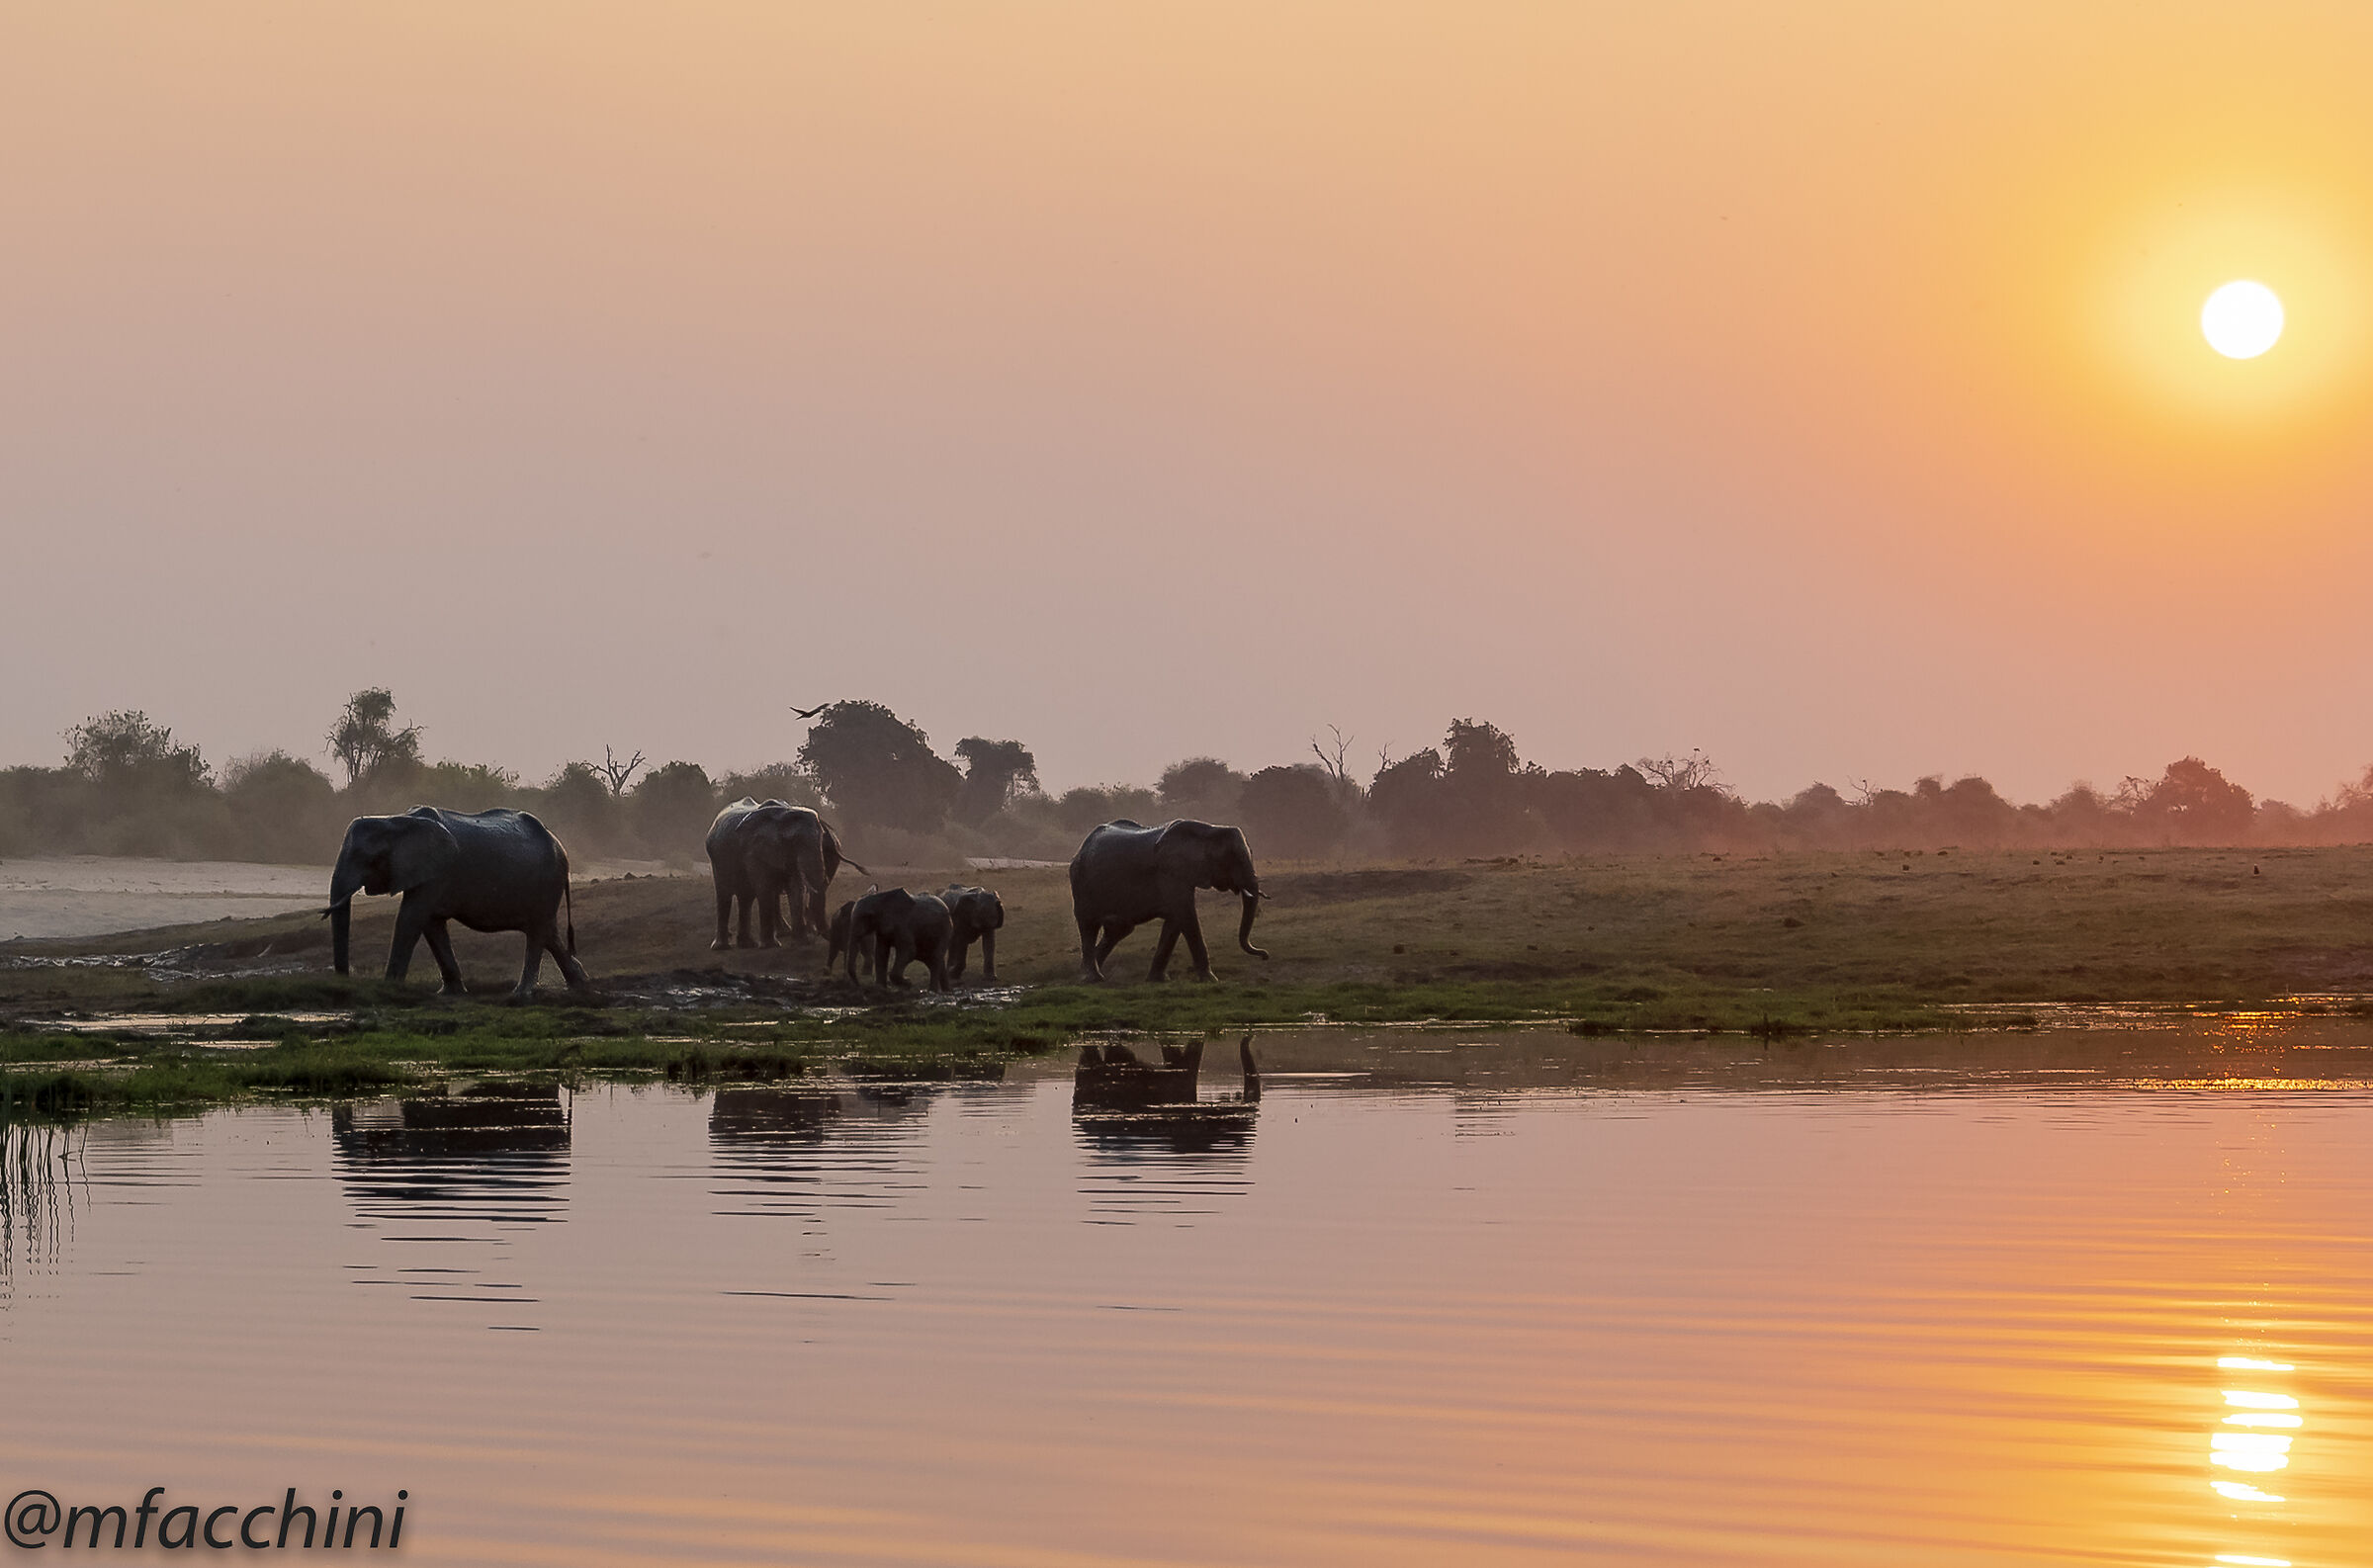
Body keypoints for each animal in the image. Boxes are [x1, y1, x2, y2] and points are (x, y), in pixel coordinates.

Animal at [327, 806, 590, 998]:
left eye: (367, 858)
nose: (344, 981)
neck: (396, 820)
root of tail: (560, 845)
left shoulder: (437, 872)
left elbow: (411, 918)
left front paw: (390, 988)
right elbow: (431, 925)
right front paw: (449, 993)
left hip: (547, 881)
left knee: (538, 933)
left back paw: (520, 995)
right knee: (548, 933)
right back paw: (580, 983)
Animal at [704, 797, 863, 949]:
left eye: (821, 838)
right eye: (794, 841)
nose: (813, 938)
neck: (783, 814)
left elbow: (797, 888)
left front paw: (801, 942)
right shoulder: (754, 851)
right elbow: (765, 887)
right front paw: (771, 945)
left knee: (746, 897)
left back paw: (748, 944)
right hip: (717, 860)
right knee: (724, 895)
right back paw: (722, 947)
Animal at [826, 886, 954, 990]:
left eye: (867, 916)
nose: (859, 985)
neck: (881, 897)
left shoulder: (903, 924)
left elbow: (909, 951)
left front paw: (908, 983)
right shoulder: (882, 927)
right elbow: (881, 952)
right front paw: (880, 988)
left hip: (945, 929)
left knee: (935, 957)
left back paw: (932, 991)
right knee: (932, 958)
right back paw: (947, 991)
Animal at [1068, 818, 1268, 982]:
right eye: (1233, 858)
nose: (1264, 955)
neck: (1210, 829)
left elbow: (1175, 919)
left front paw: (1158, 981)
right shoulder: (1170, 873)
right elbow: (1186, 914)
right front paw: (1211, 980)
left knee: (1118, 928)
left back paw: (1087, 972)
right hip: (1080, 881)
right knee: (1089, 924)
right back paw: (1093, 978)